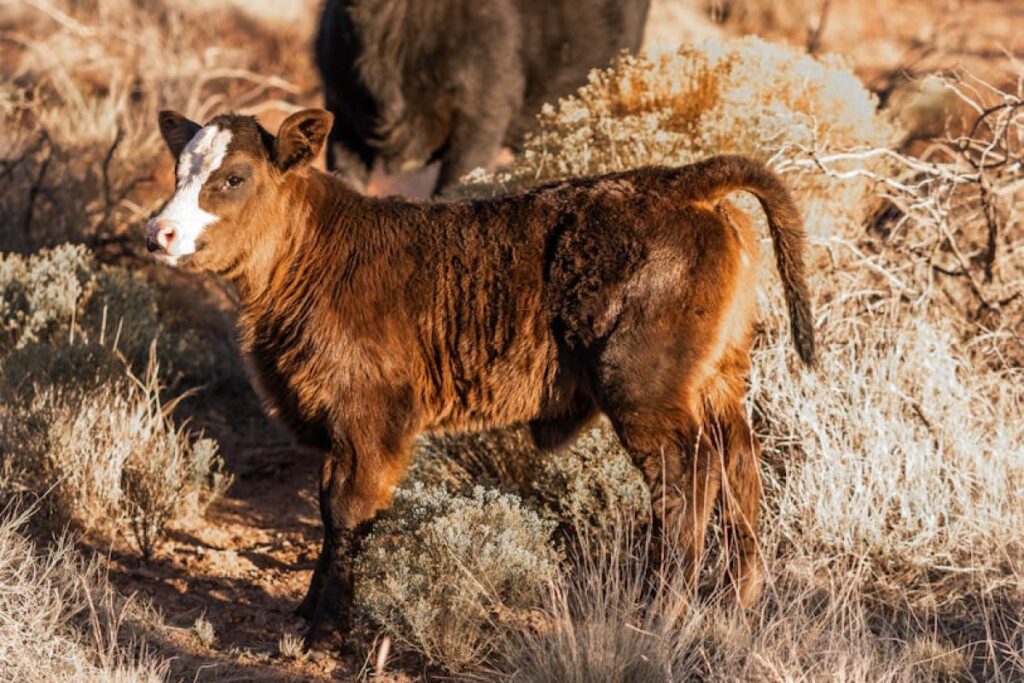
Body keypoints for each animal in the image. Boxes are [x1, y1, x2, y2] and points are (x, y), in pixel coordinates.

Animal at [145, 108, 815, 648]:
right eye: (178, 170)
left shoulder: (371, 421)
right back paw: (738, 601)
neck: (317, 255)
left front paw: (328, 632)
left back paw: (660, 614)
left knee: (686, 481)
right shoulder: (339, 428)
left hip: (645, 390)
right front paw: (308, 612)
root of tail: (680, 182)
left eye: (234, 177)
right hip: (720, 380)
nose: (158, 232)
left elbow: (348, 512)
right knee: (739, 465)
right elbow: (329, 507)